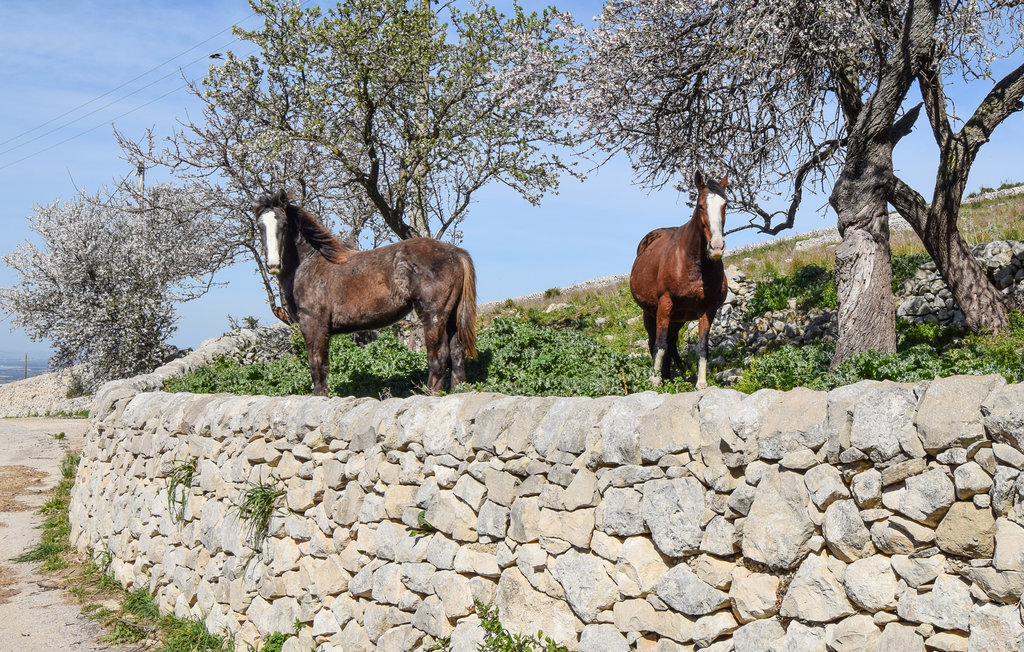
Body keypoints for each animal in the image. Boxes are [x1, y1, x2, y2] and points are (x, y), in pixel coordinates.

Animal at [256, 190, 479, 395]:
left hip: (433, 316)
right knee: (457, 352)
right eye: (260, 226)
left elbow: (317, 366)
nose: (273, 265)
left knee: (439, 354)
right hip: (451, 316)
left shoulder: (314, 325)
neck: (310, 265)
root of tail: (456, 253)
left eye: (284, 224)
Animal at [622, 169, 729, 388]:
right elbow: (660, 344)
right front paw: (655, 381)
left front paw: (701, 383)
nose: (716, 247)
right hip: (651, 314)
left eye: (725, 205)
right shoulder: (665, 304)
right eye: (700, 206)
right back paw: (660, 375)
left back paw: (668, 374)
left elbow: (702, 346)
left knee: (671, 342)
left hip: (678, 318)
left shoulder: (707, 310)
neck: (694, 264)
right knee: (655, 342)